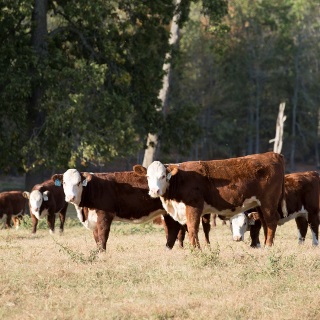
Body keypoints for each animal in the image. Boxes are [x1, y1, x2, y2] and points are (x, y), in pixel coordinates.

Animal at [51, 170, 211, 252]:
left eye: (78, 183)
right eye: (64, 182)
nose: (70, 197)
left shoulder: (104, 215)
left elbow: (102, 236)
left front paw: (102, 254)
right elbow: (96, 237)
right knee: (173, 230)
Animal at [134, 151, 286, 248]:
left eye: (163, 176)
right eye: (148, 177)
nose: (155, 191)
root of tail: (274, 154)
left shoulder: (194, 206)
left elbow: (193, 229)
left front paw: (196, 249)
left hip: (268, 201)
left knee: (271, 221)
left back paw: (268, 246)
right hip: (259, 204)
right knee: (265, 223)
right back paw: (266, 245)